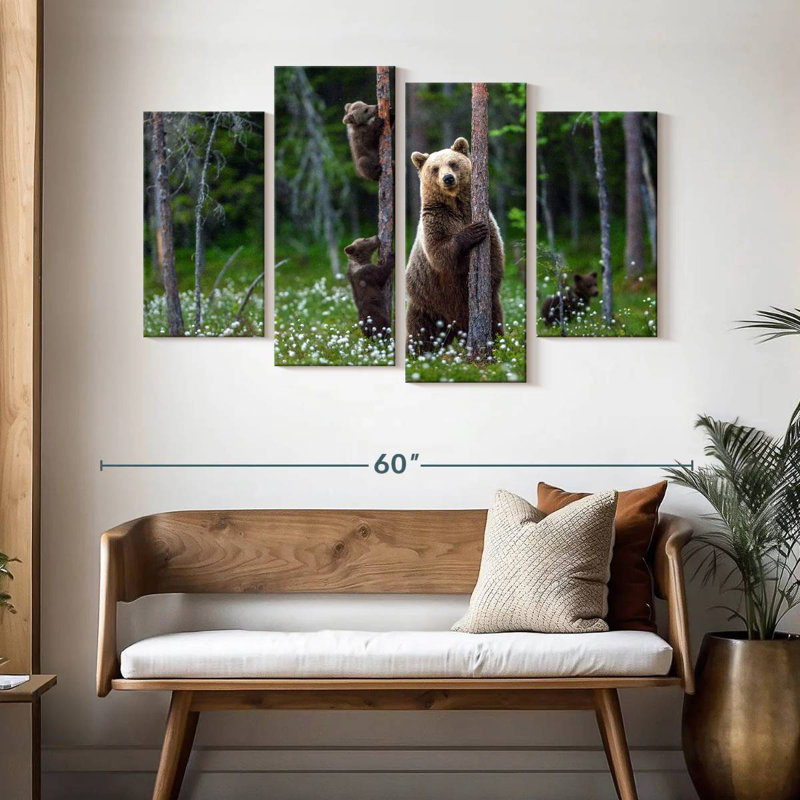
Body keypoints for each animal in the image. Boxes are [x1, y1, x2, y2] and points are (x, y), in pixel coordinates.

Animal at [405, 137, 504, 353]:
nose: (448, 178)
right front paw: (472, 232)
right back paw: (417, 352)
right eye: (435, 168)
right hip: (427, 303)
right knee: (419, 332)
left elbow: (495, 256)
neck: (456, 205)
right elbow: (440, 254)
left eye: (452, 163)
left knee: (496, 322)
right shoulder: (436, 220)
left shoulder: (486, 220)